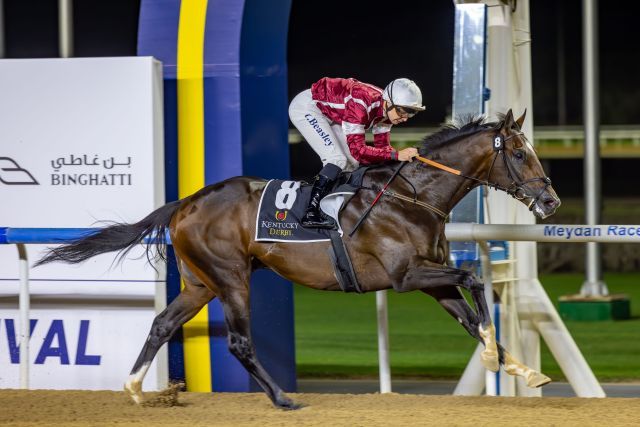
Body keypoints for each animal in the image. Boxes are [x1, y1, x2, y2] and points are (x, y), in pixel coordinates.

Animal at [38, 111, 560, 412]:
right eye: (519, 152)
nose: (551, 201)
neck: (414, 197)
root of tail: (186, 202)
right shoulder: (406, 276)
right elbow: (474, 280)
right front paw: (496, 357)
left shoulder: (430, 279)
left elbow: (469, 315)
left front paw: (521, 369)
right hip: (231, 278)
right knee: (238, 342)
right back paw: (283, 399)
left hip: (200, 284)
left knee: (163, 323)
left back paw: (134, 387)